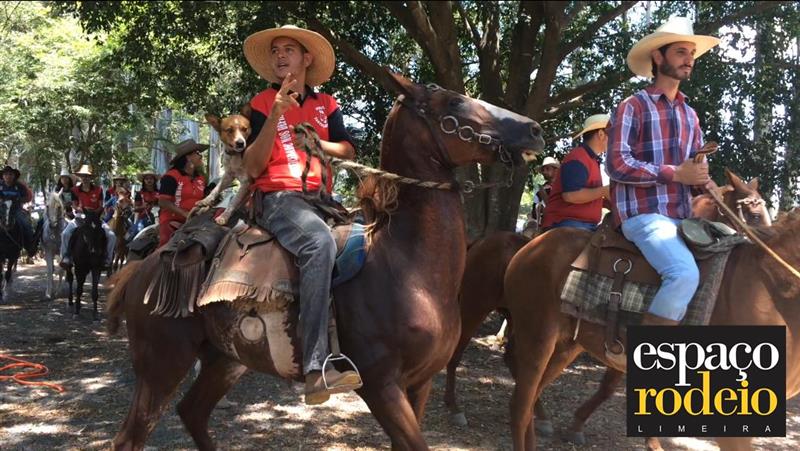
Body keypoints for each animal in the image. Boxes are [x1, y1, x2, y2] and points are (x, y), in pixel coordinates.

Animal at [104, 72, 544, 450]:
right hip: (162, 365)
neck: (407, 269)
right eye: (454, 101)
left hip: (224, 360)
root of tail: (144, 268)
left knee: (192, 412)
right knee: (130, 437)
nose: (535, 130)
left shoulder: (419, 384)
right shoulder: (381, 386)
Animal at [444, 169, 773, 445]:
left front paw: (577, 425)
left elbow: (610, 388)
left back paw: (540, 415)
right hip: (476, 307)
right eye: (754, 210)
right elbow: (610, 387)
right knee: (459, 351)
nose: (765, 246)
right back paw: (455, 408)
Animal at [504, 207, 800, 450]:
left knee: (528, 403)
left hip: (566, 346)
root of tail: (532, 245)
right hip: (537, 339)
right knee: (519, 407)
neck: (767, 288)